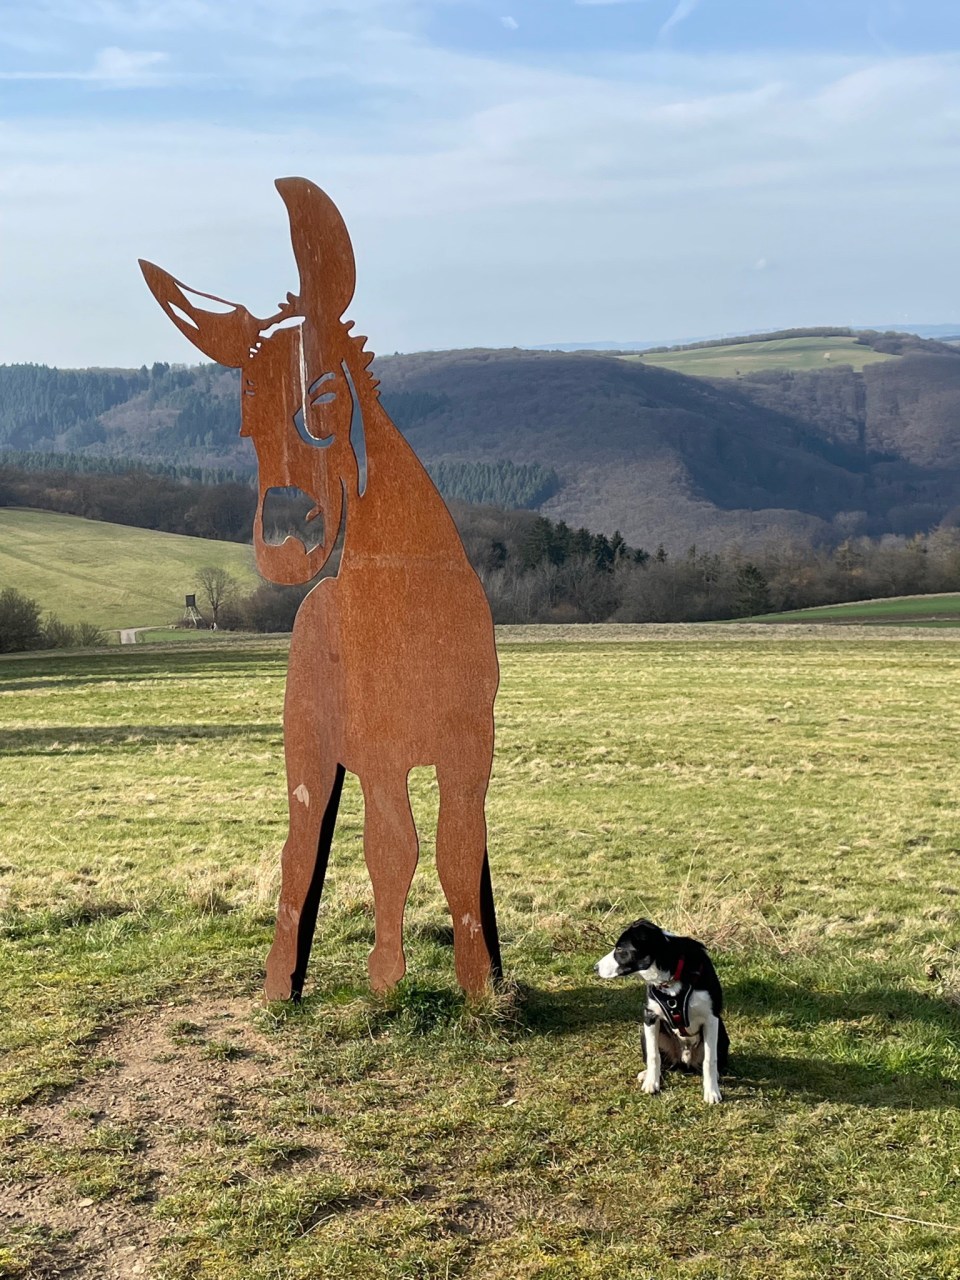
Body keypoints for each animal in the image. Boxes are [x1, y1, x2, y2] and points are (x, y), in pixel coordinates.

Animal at [595, 918, 728, 1104]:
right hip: (644, 1033)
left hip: (722, 1032)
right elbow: (653, 1055)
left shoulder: (711, 1019)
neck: (671, 976)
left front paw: (712, 1092)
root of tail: (684, 1060)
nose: (595, 968)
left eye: (620, 949)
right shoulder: (650, 1016)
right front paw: (652, 1082)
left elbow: (710, 1060)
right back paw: (648, 1074)